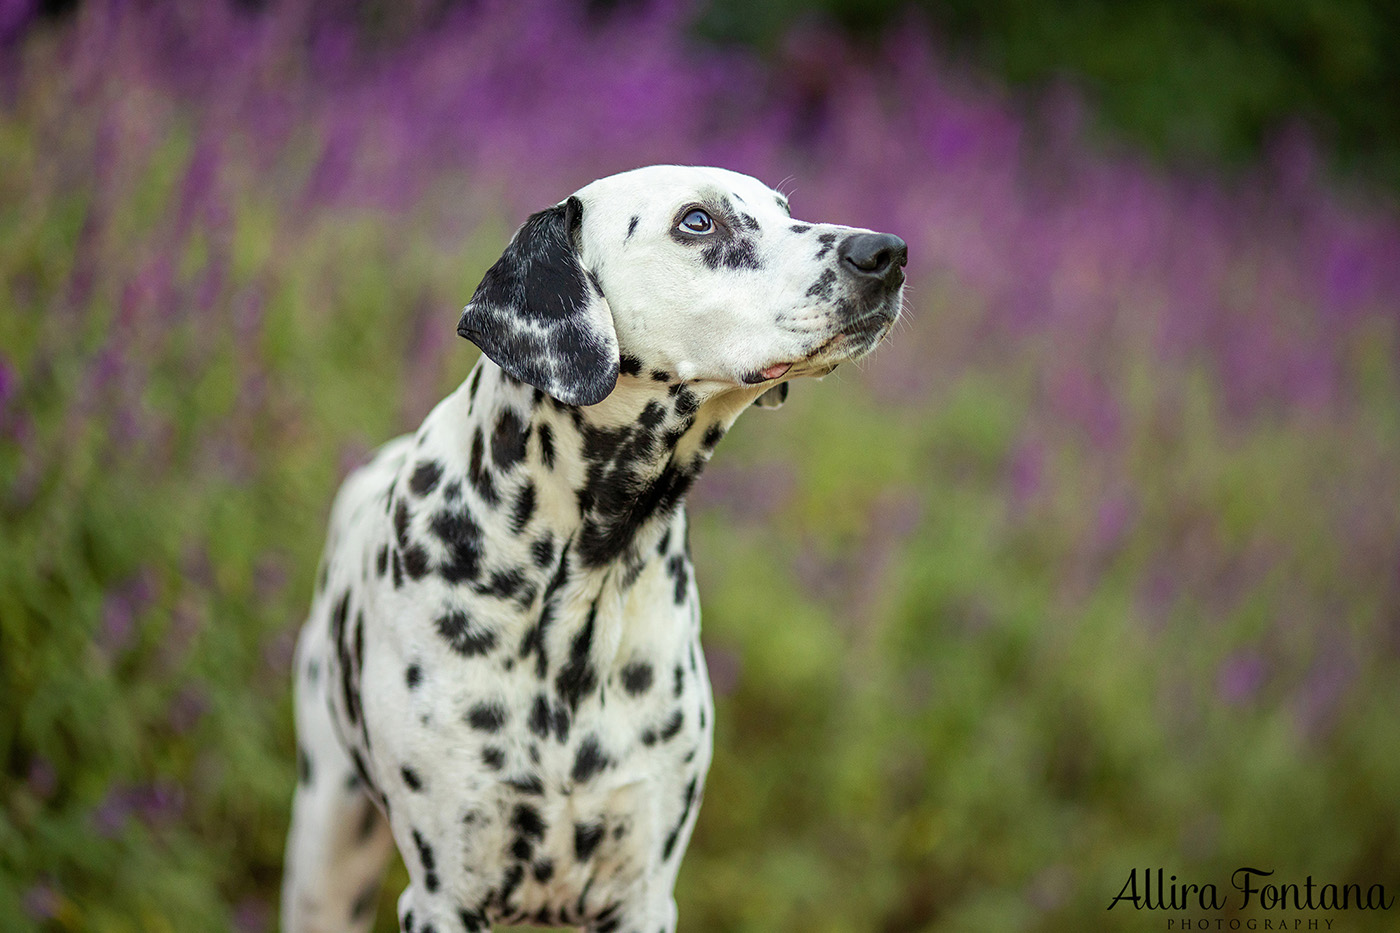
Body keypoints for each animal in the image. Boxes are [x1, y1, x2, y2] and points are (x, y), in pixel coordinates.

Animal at [281, 163, 907, 924]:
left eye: (786, 209)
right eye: (697, 220)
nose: (886, 253)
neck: (588, 576)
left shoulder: (642, 895)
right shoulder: (444, 897)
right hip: (325, 858)